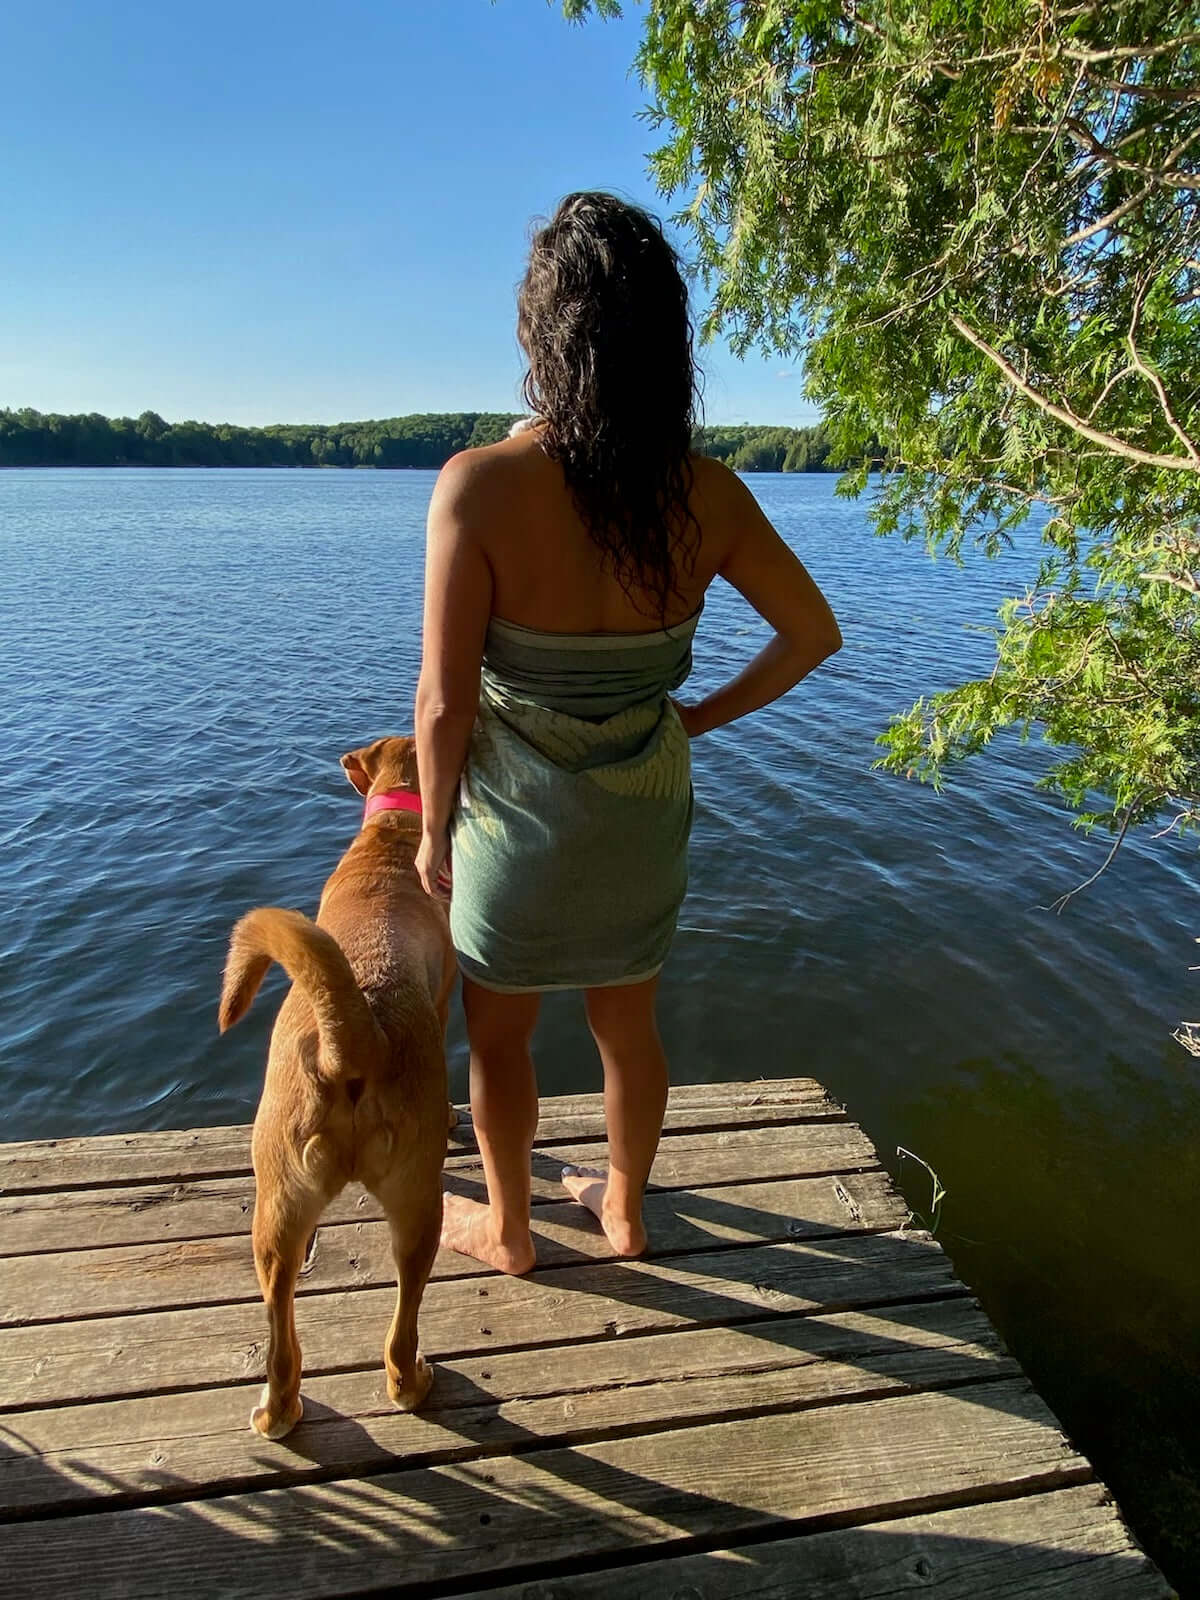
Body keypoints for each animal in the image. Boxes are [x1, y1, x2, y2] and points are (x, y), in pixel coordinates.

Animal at [219, 732, 454, 1440]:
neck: (394, 832)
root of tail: (353, 1037)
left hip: (278, 1214)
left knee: (280, 1333)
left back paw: (278, 1410)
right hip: (419, 1201)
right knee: (403, 1325)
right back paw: (412, 1383)